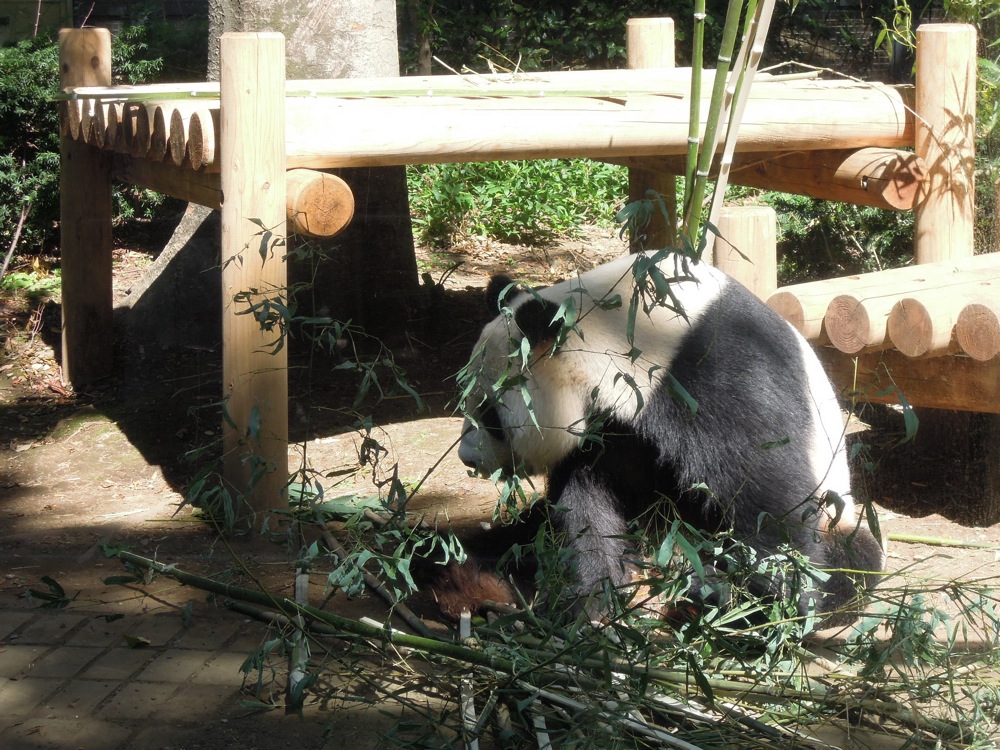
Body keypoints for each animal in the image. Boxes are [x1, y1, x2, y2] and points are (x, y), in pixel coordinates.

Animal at [451, 249, 884, 626]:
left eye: (490, 414)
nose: (467, 457)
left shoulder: (717, 372)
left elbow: (766, 493)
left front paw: (752, 605)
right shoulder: (603, 431)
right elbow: (586, 506)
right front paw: (592, 595)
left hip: (838, 513)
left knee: (856, 558)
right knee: (519, 533)